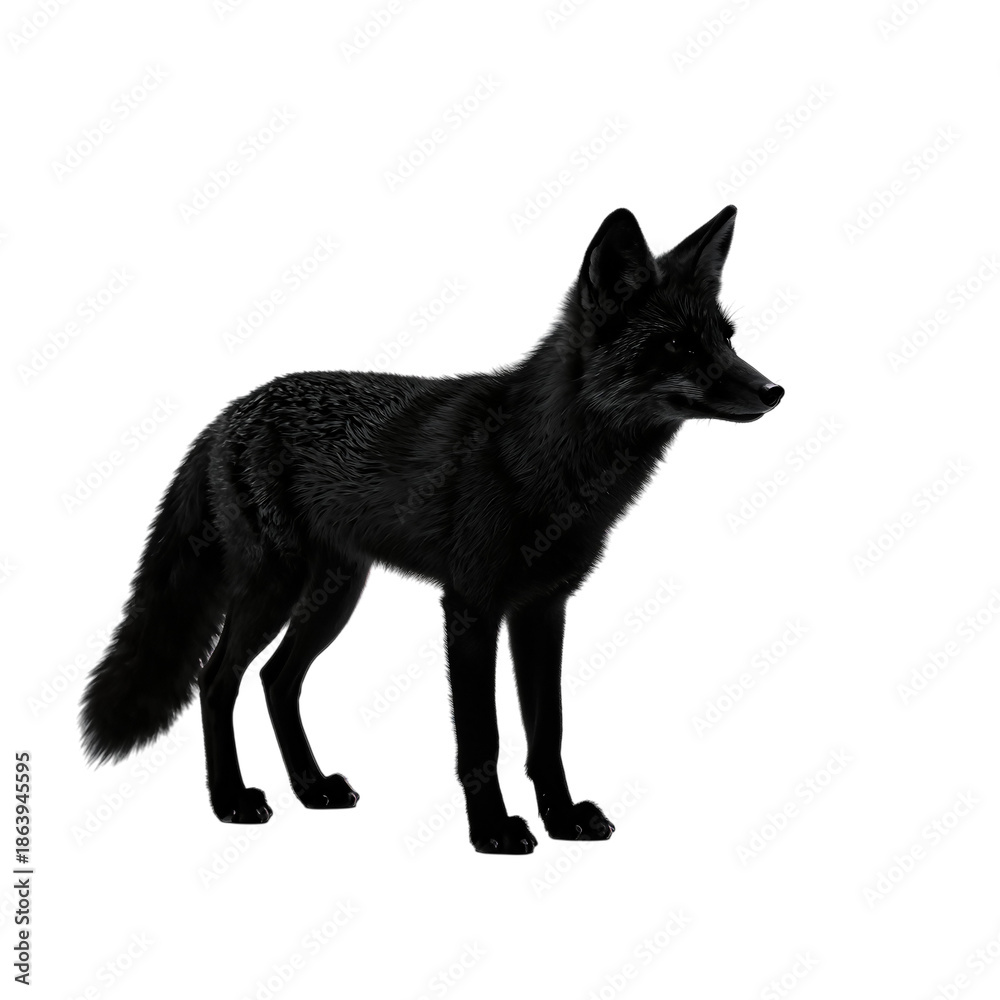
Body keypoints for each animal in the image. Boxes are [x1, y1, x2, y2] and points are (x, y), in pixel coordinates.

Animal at [80, 205, 784, 854]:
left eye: (727, 338)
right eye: (677, 346)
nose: (774, 390)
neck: (548, 468)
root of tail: (228, 413)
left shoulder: (542, 609)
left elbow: (547, 734)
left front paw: (561, 820)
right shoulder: (470, 607)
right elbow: (484, 739)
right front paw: (493, 831)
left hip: (333, 596)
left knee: (276, 680)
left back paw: (312, 788)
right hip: (271, 590)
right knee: (216, 680)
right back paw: (230, 800)